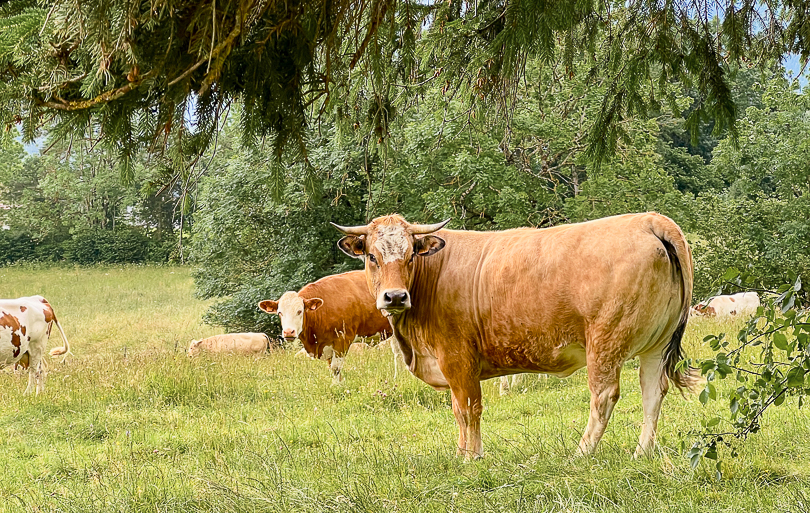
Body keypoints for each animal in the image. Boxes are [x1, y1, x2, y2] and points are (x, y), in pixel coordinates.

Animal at [254, 270, 390, 382]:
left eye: (300, 311)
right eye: (280, 313)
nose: (288, 332)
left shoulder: (343, 339)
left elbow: (336, 368)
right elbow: (332, 368)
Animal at [334, 210, 700, 458]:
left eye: (411, 254)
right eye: (372, 256)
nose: (395, 297)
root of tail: (649, 220)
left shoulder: (457, 359)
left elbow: (467, 409)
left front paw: (471, 457)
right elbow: (459, 410)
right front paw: (462, 453)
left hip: (605, 341)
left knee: (604, 395)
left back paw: (580, 453)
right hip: (656, 344)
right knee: (652, 393)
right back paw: (642, 452)